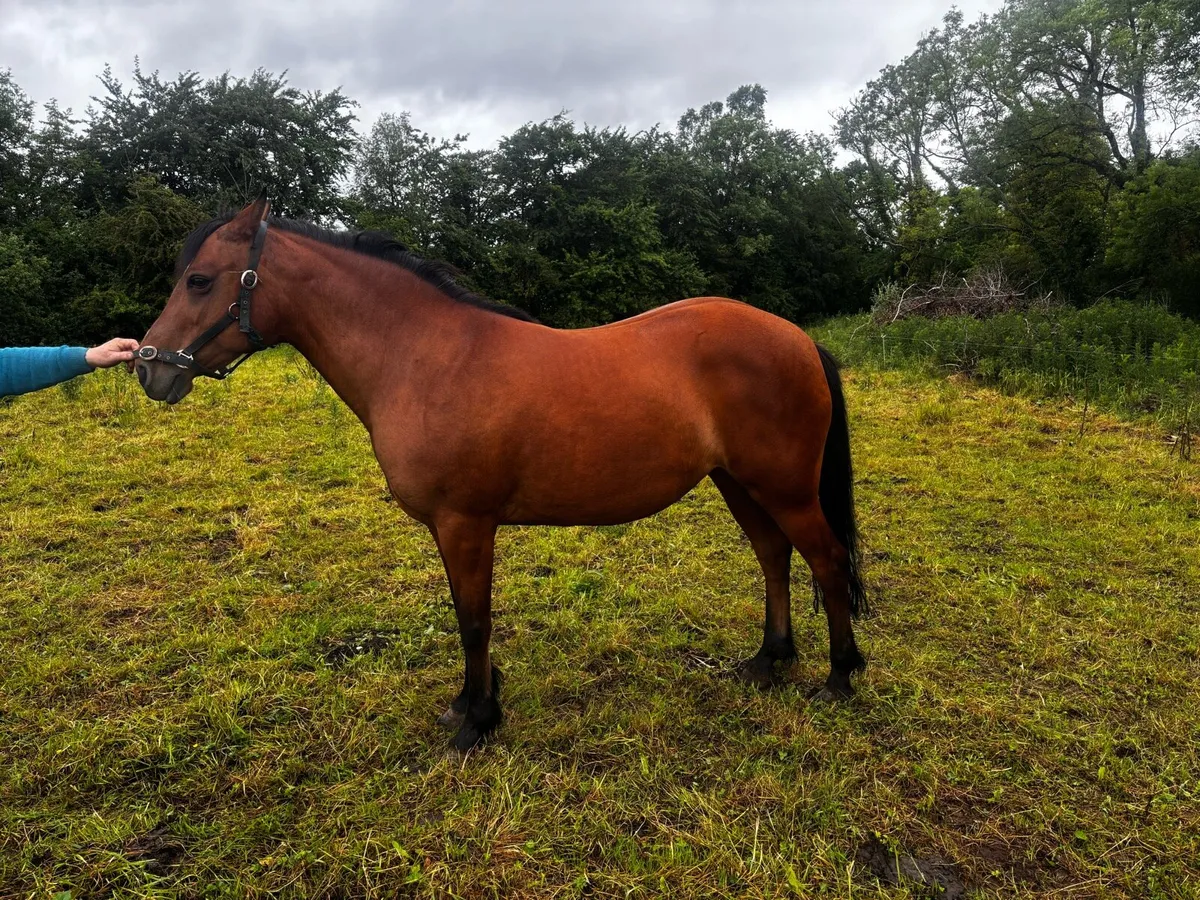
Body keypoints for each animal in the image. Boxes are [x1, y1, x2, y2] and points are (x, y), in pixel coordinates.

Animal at [135, 197, 868, 752]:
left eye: (199, 280)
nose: (150, 368)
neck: (426, 357)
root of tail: (799, 338)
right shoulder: (449, 526)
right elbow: (467, 614)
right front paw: (470, 703)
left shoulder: (466, 523)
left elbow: (474, 620)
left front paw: (479, 723)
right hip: (740, 484)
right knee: (774, 557)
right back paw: (768, 661)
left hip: (784, 488)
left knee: (826, 561)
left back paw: (839, 677)